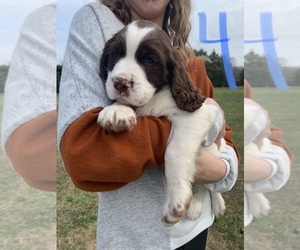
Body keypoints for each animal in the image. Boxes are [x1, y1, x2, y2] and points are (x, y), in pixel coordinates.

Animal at [98, 20, 225, 226]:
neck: (153, 98)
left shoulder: (196, 116)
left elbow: (174, 152)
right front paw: (117, 110)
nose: (120, 83)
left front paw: (175, 202)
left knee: (207, 187)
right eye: (115, 54)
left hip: (212, 151)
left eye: (150, 60)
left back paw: (212, 204)